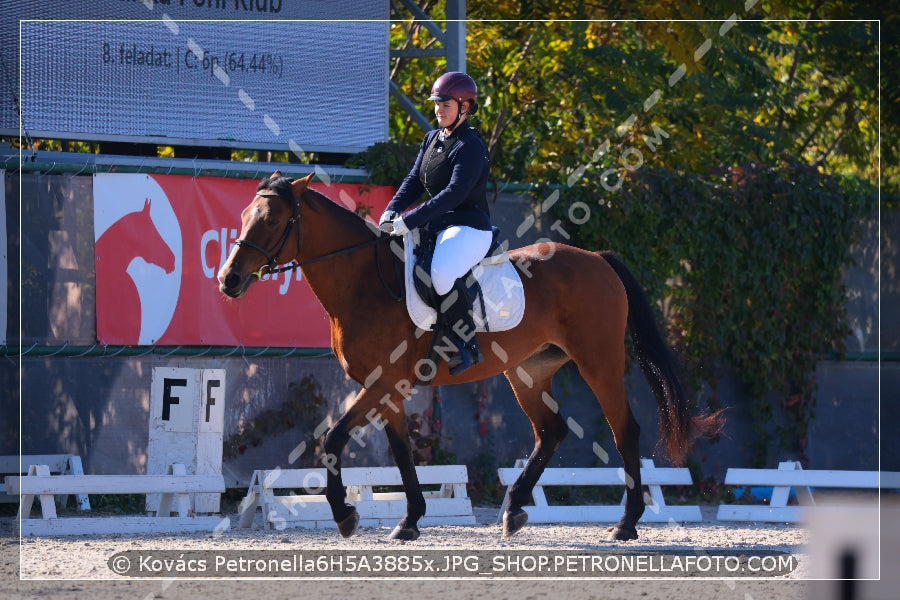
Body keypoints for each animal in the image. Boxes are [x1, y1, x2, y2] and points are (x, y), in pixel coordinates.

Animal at [218, 171, 724, 540]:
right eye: (242, 215)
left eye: (271, 220)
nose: (229, 281)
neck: (363, 282)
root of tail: (598, 259)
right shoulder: (387, 390)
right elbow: (400, 453)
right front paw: (409, 521)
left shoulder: (382, 382)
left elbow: (334, 438)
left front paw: (345, 515)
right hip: (528, 371)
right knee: (551, 430)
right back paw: (514, 510)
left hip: (597, 363)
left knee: (624, 431)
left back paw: (625, 524)